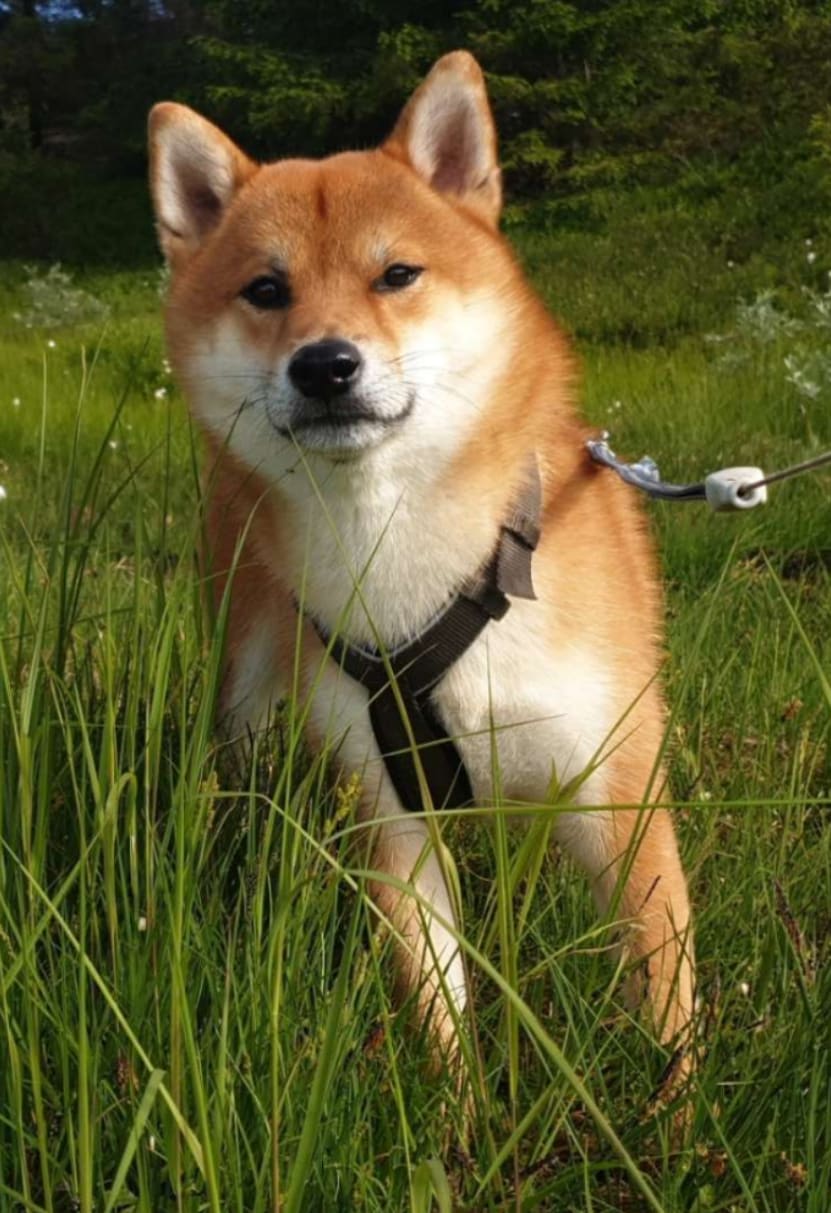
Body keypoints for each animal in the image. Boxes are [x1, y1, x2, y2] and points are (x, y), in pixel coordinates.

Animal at [147, 49, 693, 1091]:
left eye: (396, 274)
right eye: (266, 289)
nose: (324, 365)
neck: (418, 566)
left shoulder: (617, 796)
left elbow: (664, 1005)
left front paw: (679, 1121)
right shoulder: (391, 816)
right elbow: (439, 1010)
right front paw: (458, 1118)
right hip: (245, 687)